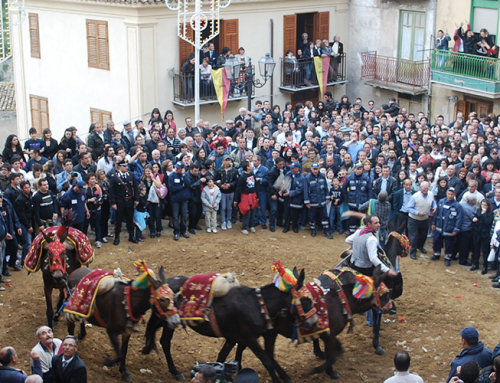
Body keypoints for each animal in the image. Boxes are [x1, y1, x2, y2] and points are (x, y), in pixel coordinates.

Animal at [143, 260, 318, 383]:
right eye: (305, 299)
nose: (313, 322)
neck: (257, 305)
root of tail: (164, 283)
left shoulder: (235, 337)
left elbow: (223, 356)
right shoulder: (250, 338)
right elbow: (267, 360)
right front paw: (278, 378)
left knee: (155, 334)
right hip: (167, 321)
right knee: (164, 341)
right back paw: (174, 370)